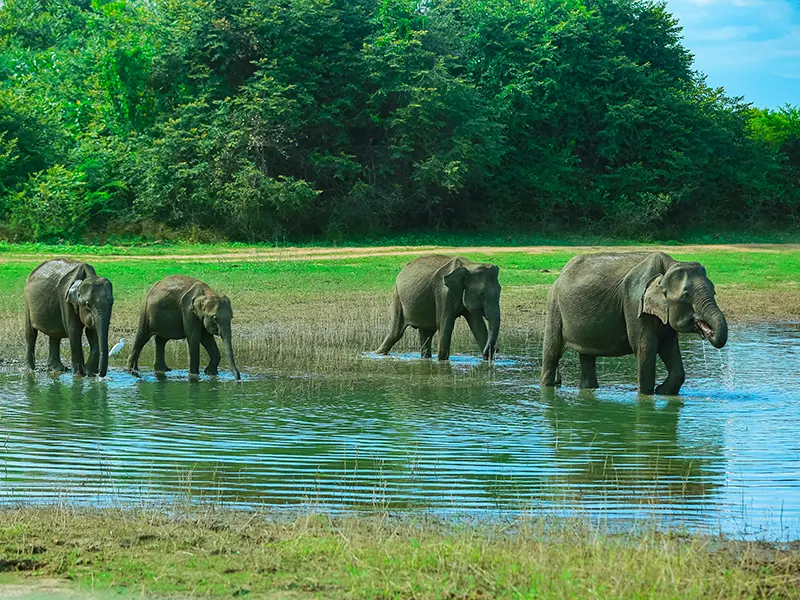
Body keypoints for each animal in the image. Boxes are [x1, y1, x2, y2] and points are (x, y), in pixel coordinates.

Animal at [540, 252, 728, 395]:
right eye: (686, 295)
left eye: (714, 292)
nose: (708, 332)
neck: (669, 266)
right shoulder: (634, 302)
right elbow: (645, 346)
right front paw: (647, 396)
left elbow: (668, 346)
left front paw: (662, 391)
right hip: (554, 306)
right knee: (552, 351)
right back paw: (547, 387)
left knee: (587, 356)